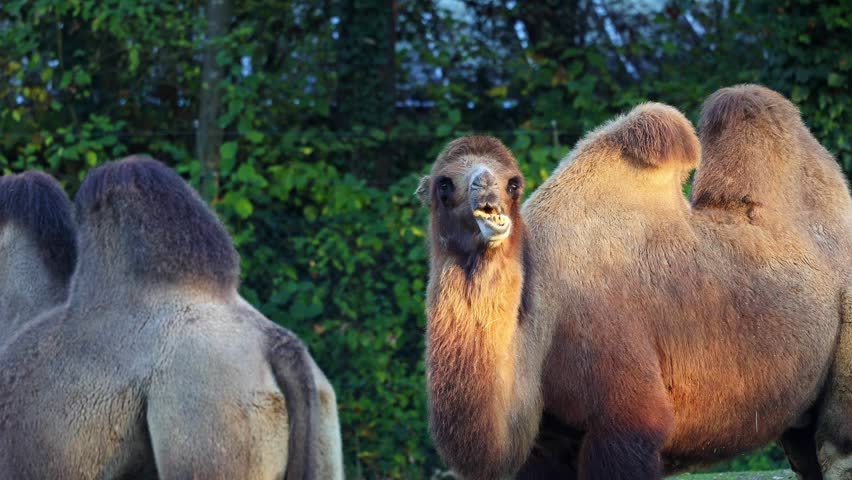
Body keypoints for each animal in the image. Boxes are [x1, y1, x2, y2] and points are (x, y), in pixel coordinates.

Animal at [417, 84, 852, 479]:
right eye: (444, 184)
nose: (486, 189)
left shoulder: (627, 419)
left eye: (513, 183)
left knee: (836, 445)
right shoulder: (545, 443)